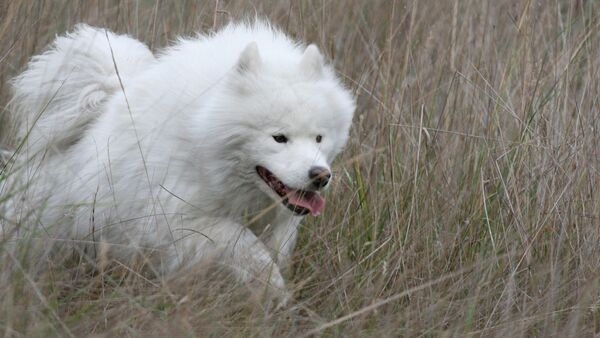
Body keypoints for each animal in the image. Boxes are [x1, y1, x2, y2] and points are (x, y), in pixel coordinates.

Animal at [2, 20, 354, 302]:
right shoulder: (178, 220)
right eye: (279, 138)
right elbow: (246, 247)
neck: (203, 135)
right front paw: (275, 293)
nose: (320, 175)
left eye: (319, 138)